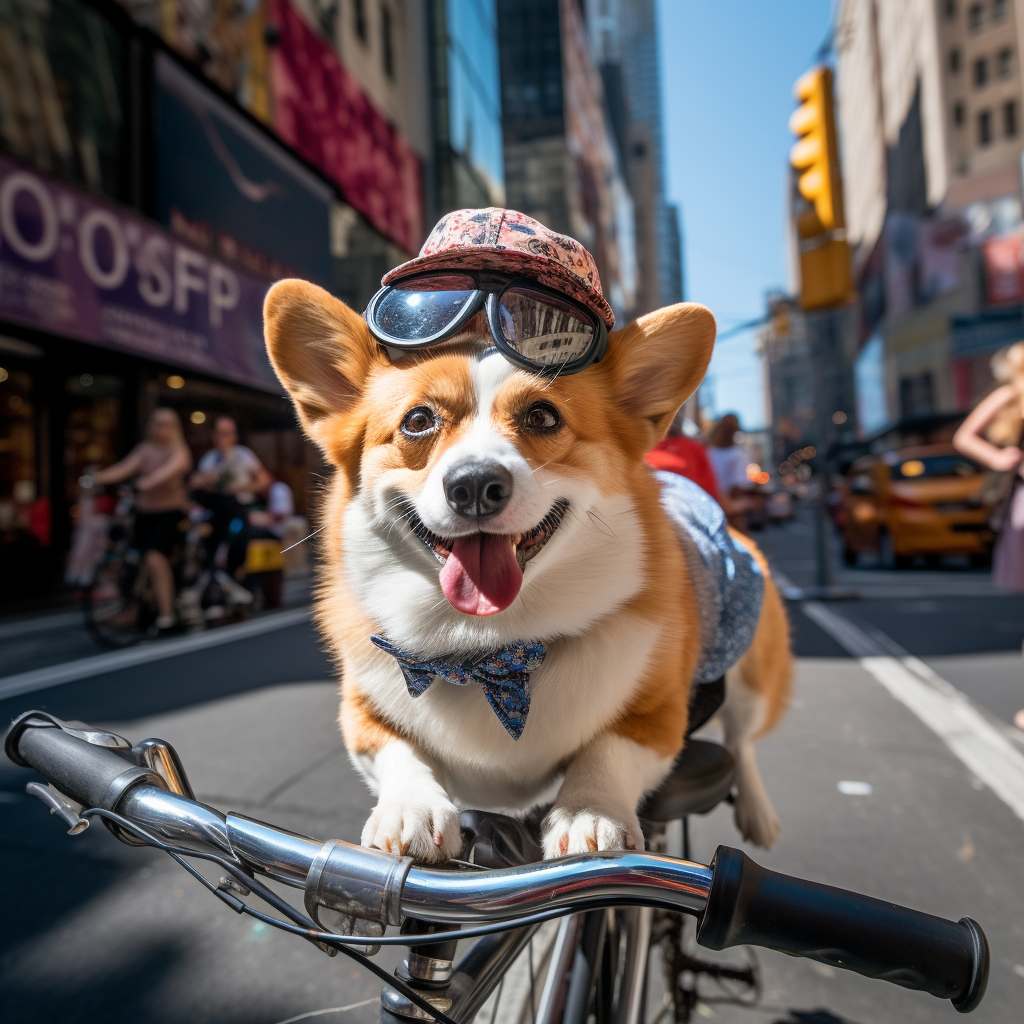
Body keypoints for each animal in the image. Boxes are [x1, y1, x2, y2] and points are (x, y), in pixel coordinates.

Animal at [264, 216, 790, 864]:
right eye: (418, 421)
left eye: (542, 416)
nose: (474, 486)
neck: (489, 652)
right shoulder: (359, 713)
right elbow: (397, 748)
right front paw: (412, 806)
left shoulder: (659, 717)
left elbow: (608, 748)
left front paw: (590, 811)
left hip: (751, 665)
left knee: (742, 739)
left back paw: (759, 812)